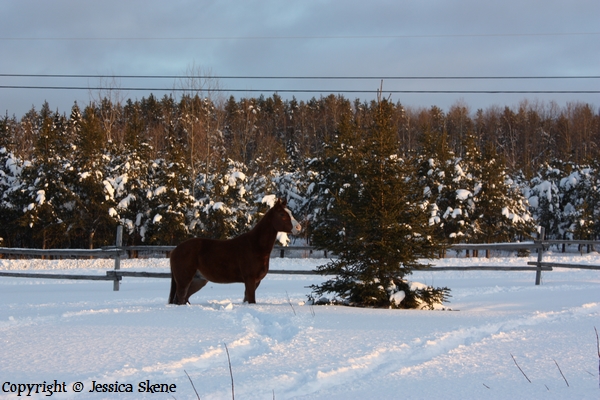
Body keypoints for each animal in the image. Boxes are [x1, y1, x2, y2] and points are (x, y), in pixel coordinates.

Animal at [168, 198, 300, 304]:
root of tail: (175, 250)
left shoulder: (255, 282)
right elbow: (251, 300)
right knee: (181, 298)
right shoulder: (250, 279)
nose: (298, 227)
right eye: (282, 214)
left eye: (290, 213)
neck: (255, 246)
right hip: (184, 280)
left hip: (198, 280)